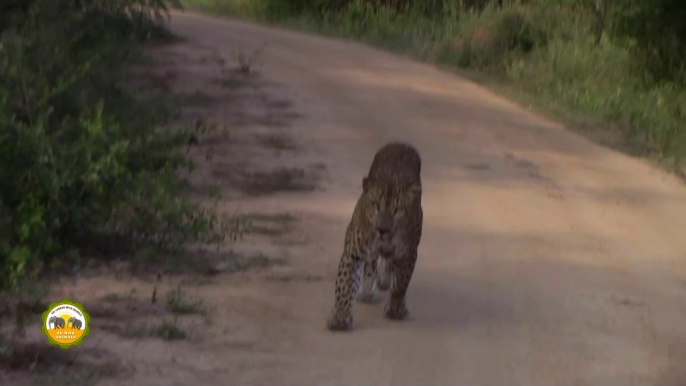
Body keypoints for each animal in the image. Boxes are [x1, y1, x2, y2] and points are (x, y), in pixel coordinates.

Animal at [326, 142, 422, 332]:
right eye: (375, 205)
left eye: (397, 210)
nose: (382, 229)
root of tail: (400, 144)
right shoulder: (353, 251)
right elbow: (345, 284)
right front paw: (341, 317)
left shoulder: (408, 253)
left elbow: (401, 283)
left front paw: (395, 310)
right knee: (371, 265)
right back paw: (368, 292)